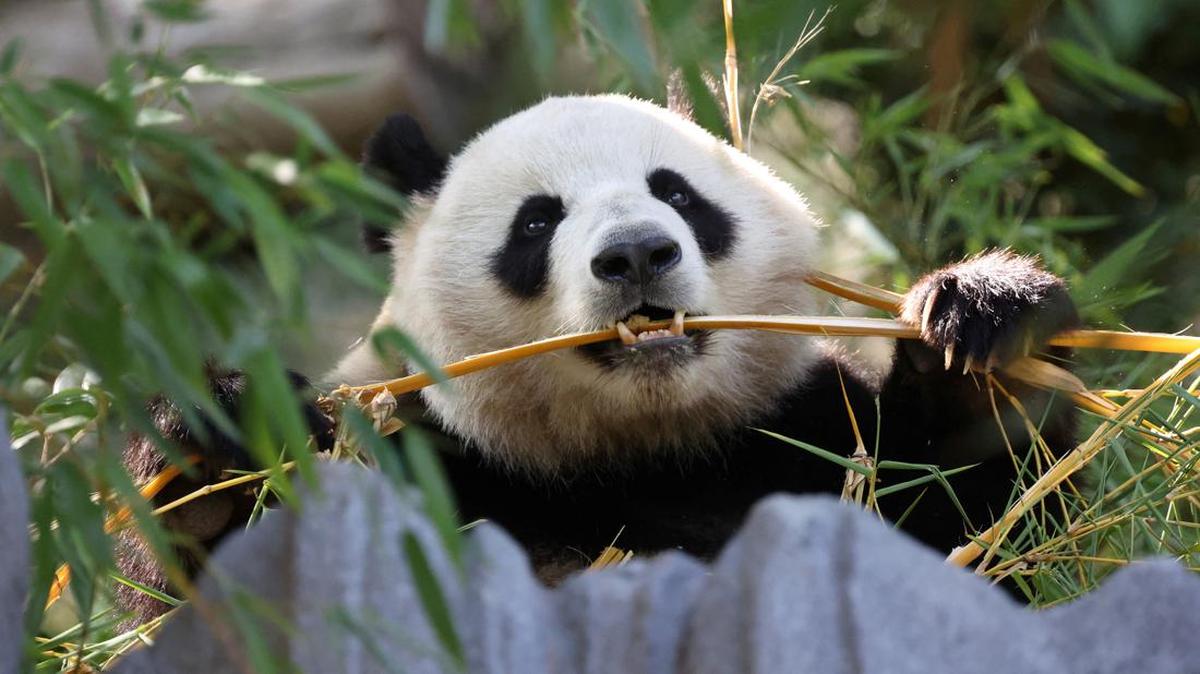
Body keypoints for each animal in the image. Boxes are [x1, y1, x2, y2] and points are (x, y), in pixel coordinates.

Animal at [117, 94, 1079, 625]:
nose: (637, 255)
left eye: (677, 193)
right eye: (537, 221)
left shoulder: (809, 435)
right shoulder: (422, 453)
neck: (635, 453)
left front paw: (985, 323)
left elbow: (997, 533)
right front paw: (214, 441)